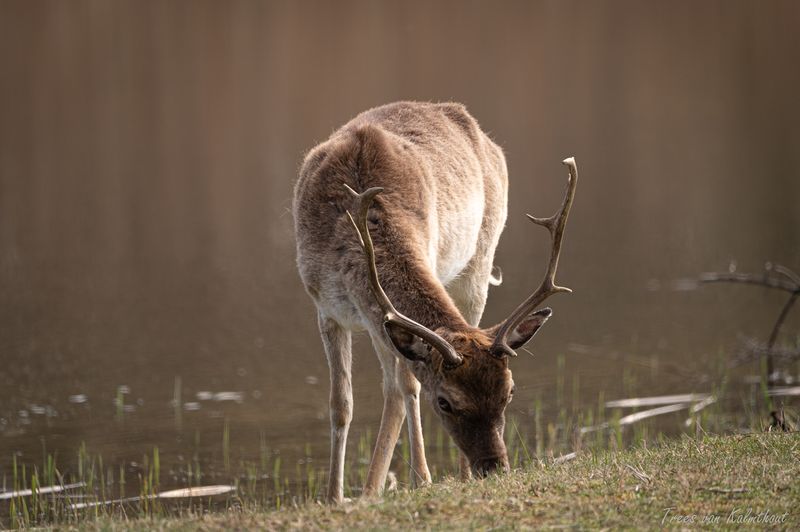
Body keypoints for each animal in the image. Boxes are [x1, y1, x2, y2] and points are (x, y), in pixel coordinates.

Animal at [292, 101, 576, 502]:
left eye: (509, 393)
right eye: (445, 402)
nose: (494, 466)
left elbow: (405, 387)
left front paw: (420, 480)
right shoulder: (327, 308)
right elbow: (341, 405)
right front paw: (335, 497)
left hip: (478, 266)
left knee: (402, 385)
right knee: (395, 389)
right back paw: (373, 489)